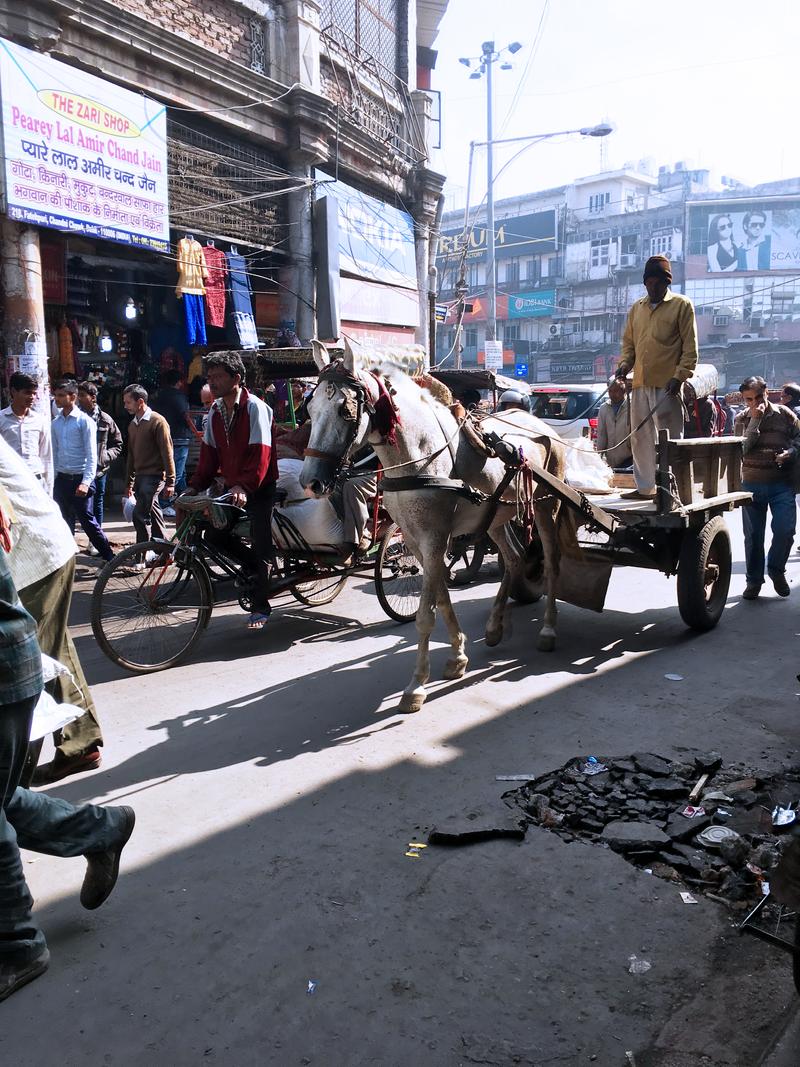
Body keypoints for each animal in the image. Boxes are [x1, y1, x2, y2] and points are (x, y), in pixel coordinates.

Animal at [300, 345, 571, 712]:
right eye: (310, 408)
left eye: (345, 410)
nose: (310, 482)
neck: (420, 455)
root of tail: (545, 427)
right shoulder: (417, 540)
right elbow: (441, 598)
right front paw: (457, 657)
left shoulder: (434, 538)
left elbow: (425, 615)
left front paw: (416, 685)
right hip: (496, 517)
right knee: (514, 559)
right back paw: (494, 627)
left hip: (546, 505)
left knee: (553, 561)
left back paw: (548, 630)